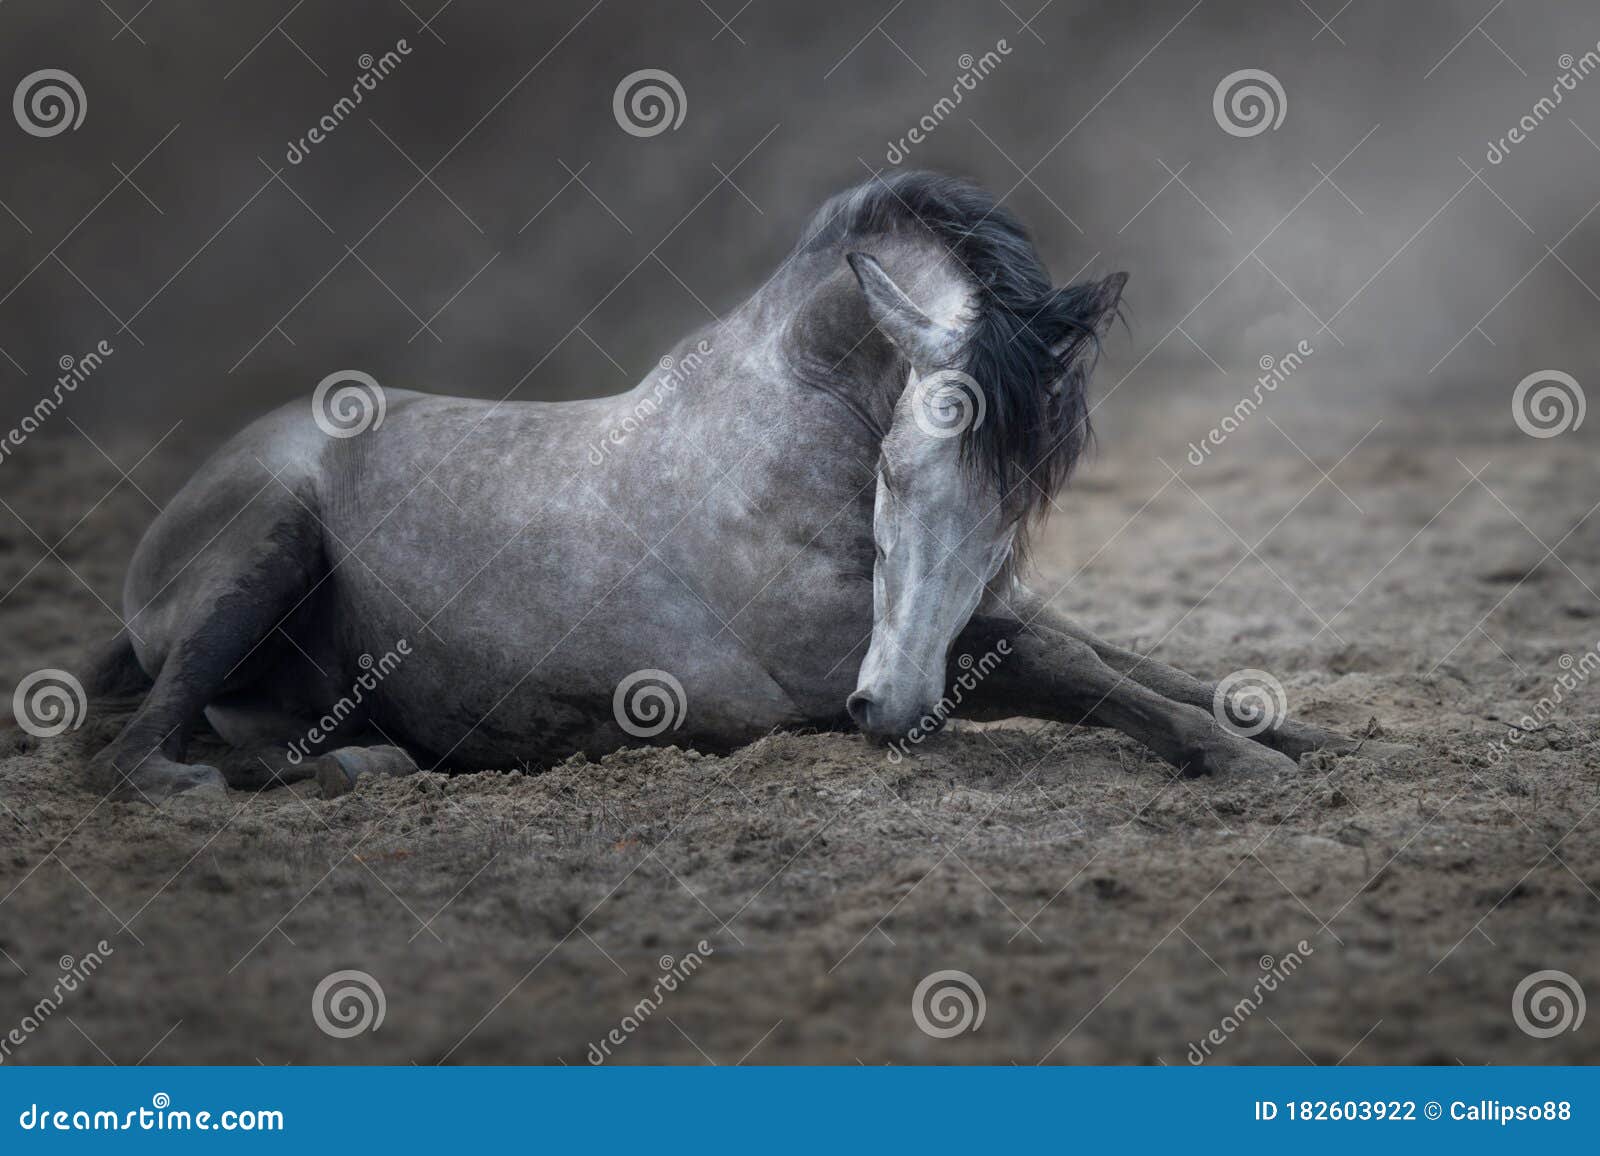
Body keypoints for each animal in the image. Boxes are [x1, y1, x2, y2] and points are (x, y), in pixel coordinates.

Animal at [85, 171, 1359, 802]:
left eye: (1016, 511)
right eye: (894, 468)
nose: (891, 709)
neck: (786, 425)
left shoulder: (980, 611)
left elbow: (1132, 659)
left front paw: (1315, 736)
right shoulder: (842, 657)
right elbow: (1090, 673)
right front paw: (1245, 764)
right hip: (265, 550)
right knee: (135, 760)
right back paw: (336, 771)